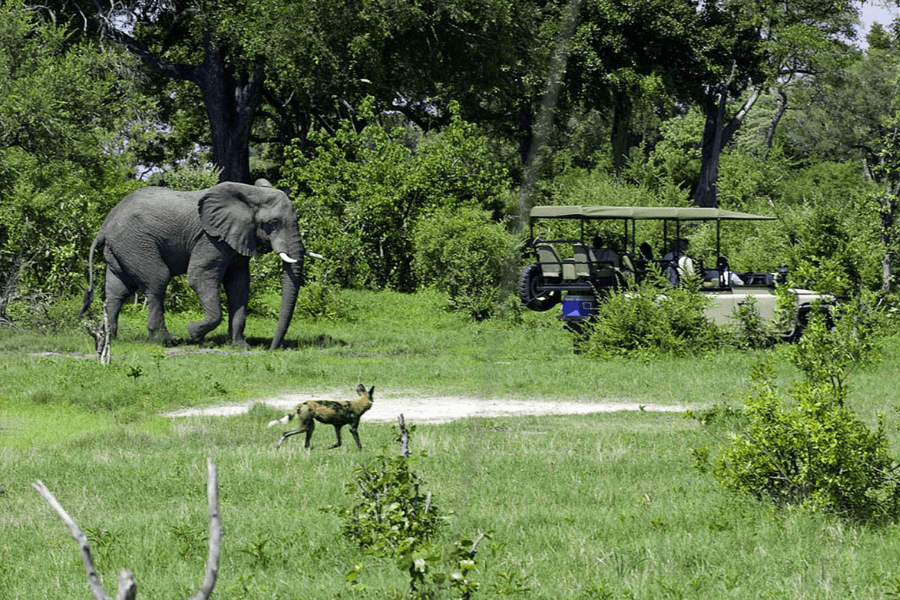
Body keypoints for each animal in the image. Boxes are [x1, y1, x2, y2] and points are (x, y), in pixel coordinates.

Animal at [81, 179, 309, 350]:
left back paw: (106, 338)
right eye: (273, 224)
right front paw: (194, 333)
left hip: (120, 248)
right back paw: (166, 341)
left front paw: (240, 346)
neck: (250, 194)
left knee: (117, 291)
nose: (272, 348)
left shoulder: (237, 237)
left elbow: (239, 284)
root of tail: (105, 226)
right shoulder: (211, 238)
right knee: (157, 279)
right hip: (135, 243)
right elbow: (200, 277)